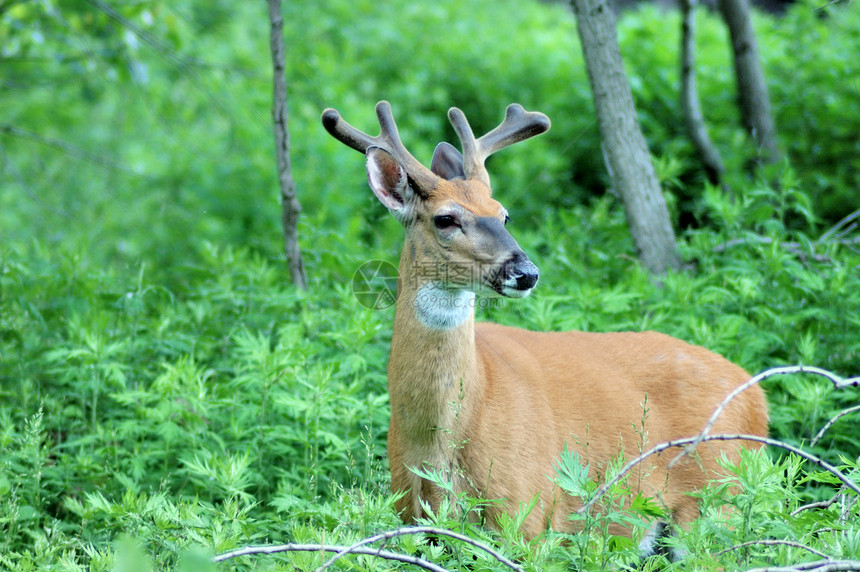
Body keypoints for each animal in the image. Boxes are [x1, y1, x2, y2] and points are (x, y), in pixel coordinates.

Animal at [320, 100, 768, 552]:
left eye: (504, 215)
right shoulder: (408, 520)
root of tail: (756, 395)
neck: (440, 440)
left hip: (716, 501)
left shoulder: (525, 517)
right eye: (445, 219)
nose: (526, 272)